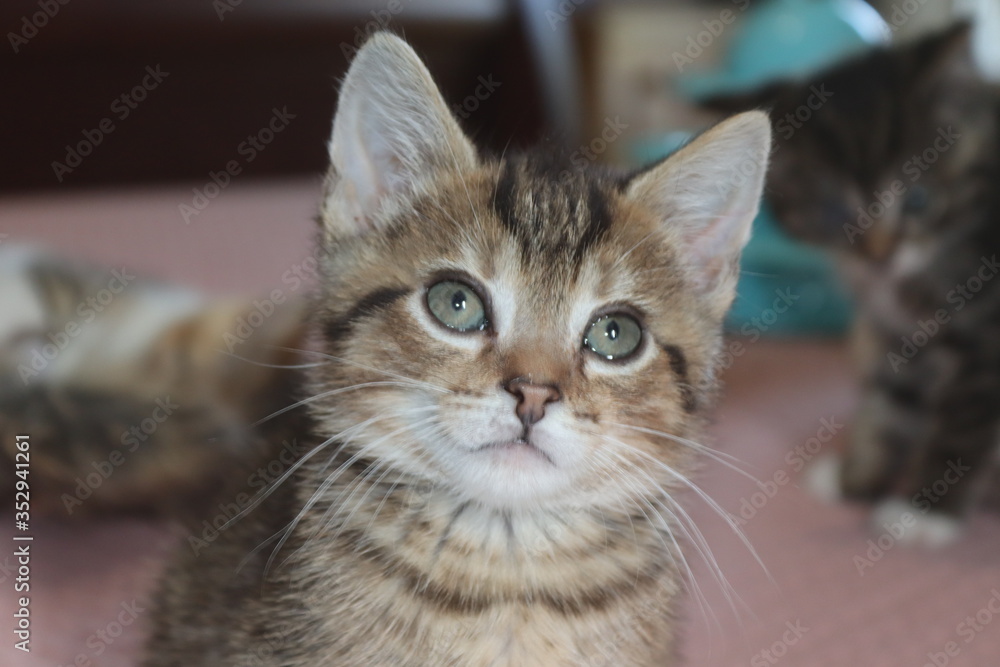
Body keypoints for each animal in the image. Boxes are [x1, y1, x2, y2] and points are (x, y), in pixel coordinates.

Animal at [704, 24, 1000, 548]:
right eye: (832, 211)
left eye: (920, 199)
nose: (879, 256)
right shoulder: (893, 334)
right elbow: (892, 398)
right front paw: (857, 479)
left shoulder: (986, 334)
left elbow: (964, 416)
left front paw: (925, 510)